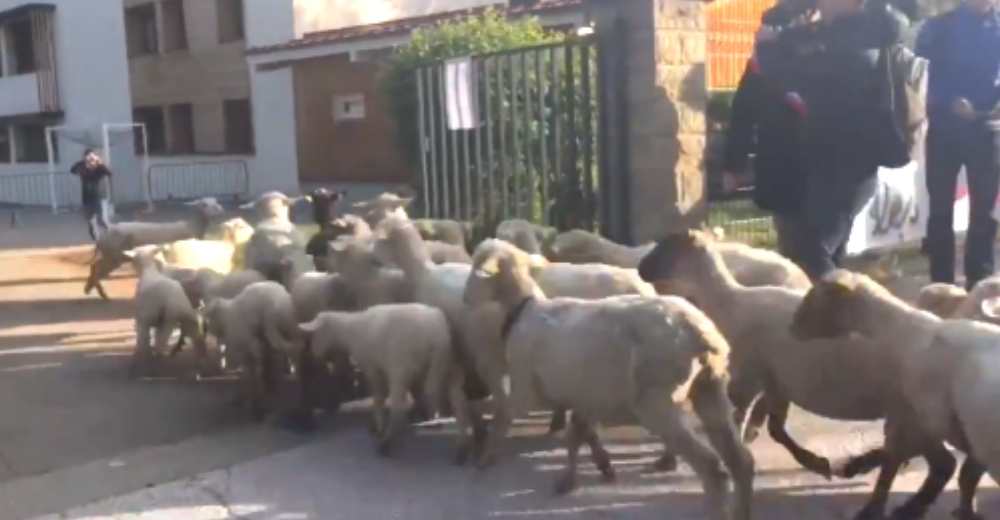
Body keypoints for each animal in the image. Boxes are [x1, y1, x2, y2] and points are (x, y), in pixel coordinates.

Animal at [84, 196, 227, 300]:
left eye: (216, 201)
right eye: (204, 205)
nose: (221, 210)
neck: (191, 226)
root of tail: (103, 235)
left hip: (113, 256)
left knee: (95, 267)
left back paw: (90, 289)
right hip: (113, 254)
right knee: (96, 268)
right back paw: (99, 293)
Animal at [122, 244, 206, 378]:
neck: (149, 270)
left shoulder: (144, 320)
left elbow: (143, 343)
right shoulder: (158, 323)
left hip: (163, 318)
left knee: (155, 343)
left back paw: (151, 369)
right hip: (186, 316)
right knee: (197, 338)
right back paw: (199, 365)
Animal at [298, 304, 474, 460]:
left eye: (315, 335)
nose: (313, 354)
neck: (350, 331)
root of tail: (437, 336)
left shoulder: (374, 370)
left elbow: (378, 400)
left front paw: (378, 428)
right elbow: (416, 395)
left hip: (400, 367)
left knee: (398, 408)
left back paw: (385, 444)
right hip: (448, 365)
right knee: (459, 401)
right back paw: (462, 448)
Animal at [460, 240, 752, 516]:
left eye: (477, 267)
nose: (465, 299)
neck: (525, 309)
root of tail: (699, 332)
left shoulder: (526, 386)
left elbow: (504, 417)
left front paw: (485, 456)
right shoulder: (583, 395)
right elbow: (577, 434)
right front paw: (578, 476)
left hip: (659, 399)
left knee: (712, 467)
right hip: (710, 386)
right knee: (741, 461)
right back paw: (740, 508)